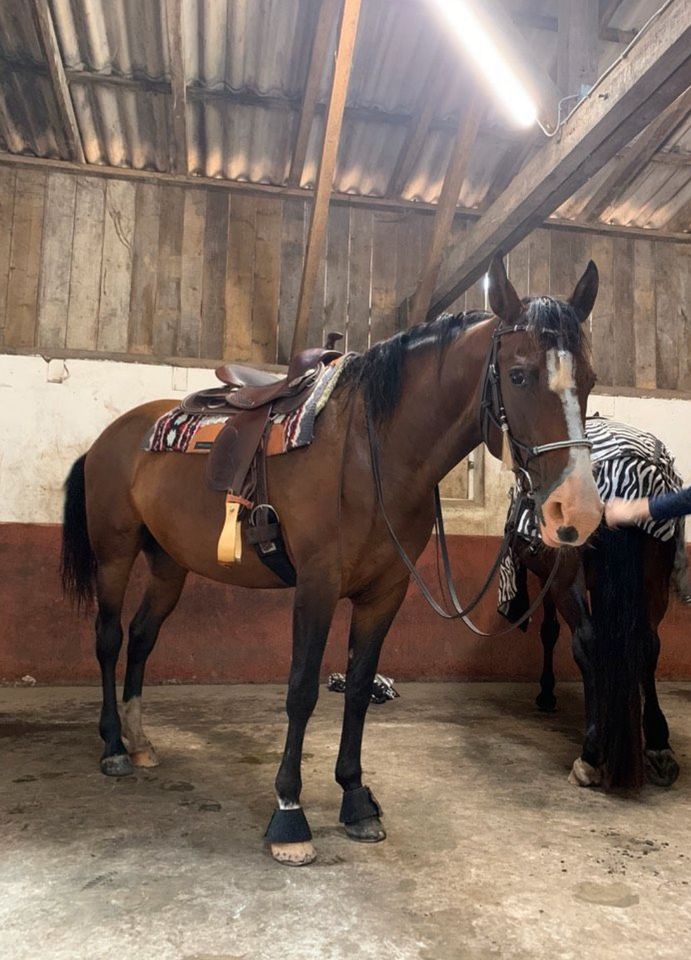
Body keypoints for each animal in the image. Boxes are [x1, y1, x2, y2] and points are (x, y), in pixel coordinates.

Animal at [62, 258, 604, 868]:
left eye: (589, 379)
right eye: (518, 375)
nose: (577, 511)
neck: (373, 454)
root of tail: (110, 437)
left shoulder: (385, 591)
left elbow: (362, 688)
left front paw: (356, 799)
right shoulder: (316, 586)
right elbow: (301, 691)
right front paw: (289, 815)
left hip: (169, 563)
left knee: (142, 635)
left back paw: (139, 740)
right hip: (114, 553)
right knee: (109, 637)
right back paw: (113, 746)